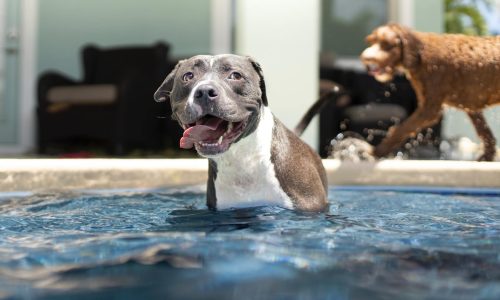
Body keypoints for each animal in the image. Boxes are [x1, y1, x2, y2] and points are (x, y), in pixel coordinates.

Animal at [362, 23, 498, 161]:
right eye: (371, 41)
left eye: (387, 44)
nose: (366, 58)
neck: (419, 53)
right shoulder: (470, 106)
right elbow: (485, 133)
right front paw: (486, 157)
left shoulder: (430, 109)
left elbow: (402, 129)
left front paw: (375, 152)